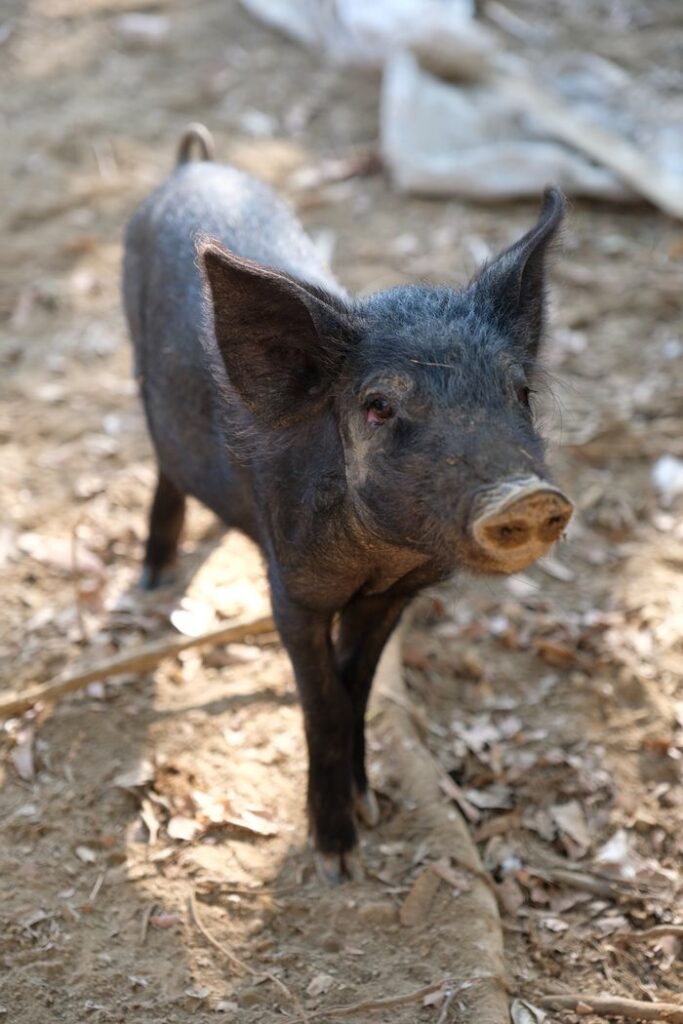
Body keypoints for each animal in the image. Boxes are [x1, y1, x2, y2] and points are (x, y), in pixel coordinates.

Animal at [123, 124, 573, 882]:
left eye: (519, 392)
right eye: (378, 407)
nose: (530, 496)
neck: (380, 558)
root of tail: (190, 165)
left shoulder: (394, 597)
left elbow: (355, 685)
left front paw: (368, 807)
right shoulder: (291, 592)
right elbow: (321, 702)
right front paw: (338, 859)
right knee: (161, 464)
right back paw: (153, 579)